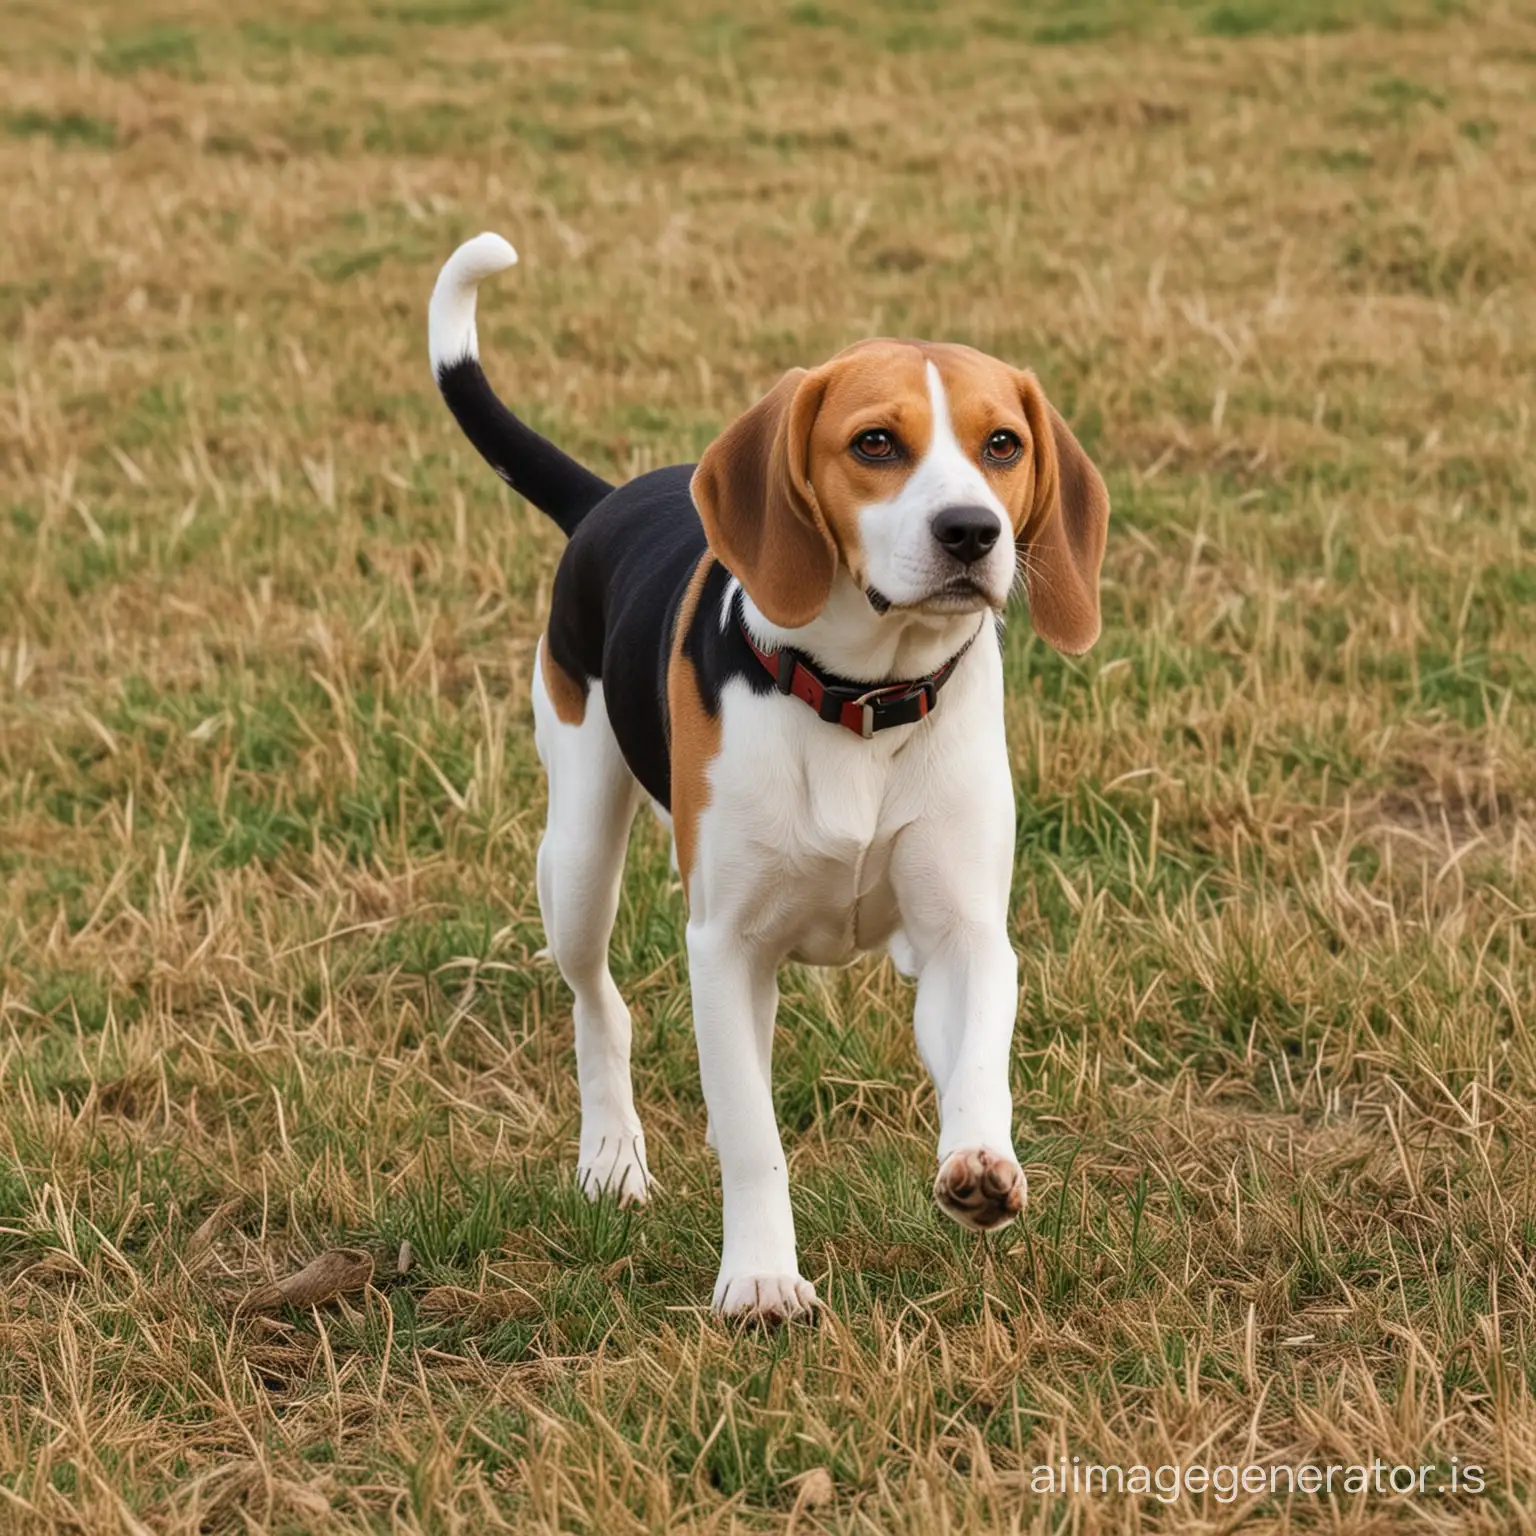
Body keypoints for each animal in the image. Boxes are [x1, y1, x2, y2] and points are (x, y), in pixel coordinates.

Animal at [427, 230, 1112, 1320]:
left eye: (1003, 444)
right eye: (875, 444)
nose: (972, 531)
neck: (864, 704)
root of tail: (611, 500)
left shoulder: (964, 932)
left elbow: (977, 1056)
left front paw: (982, 1164)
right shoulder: (727, 947)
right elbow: (753, 1138)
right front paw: (760, 1278)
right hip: (576, 856)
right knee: (597, 1001)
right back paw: (611, 1155)